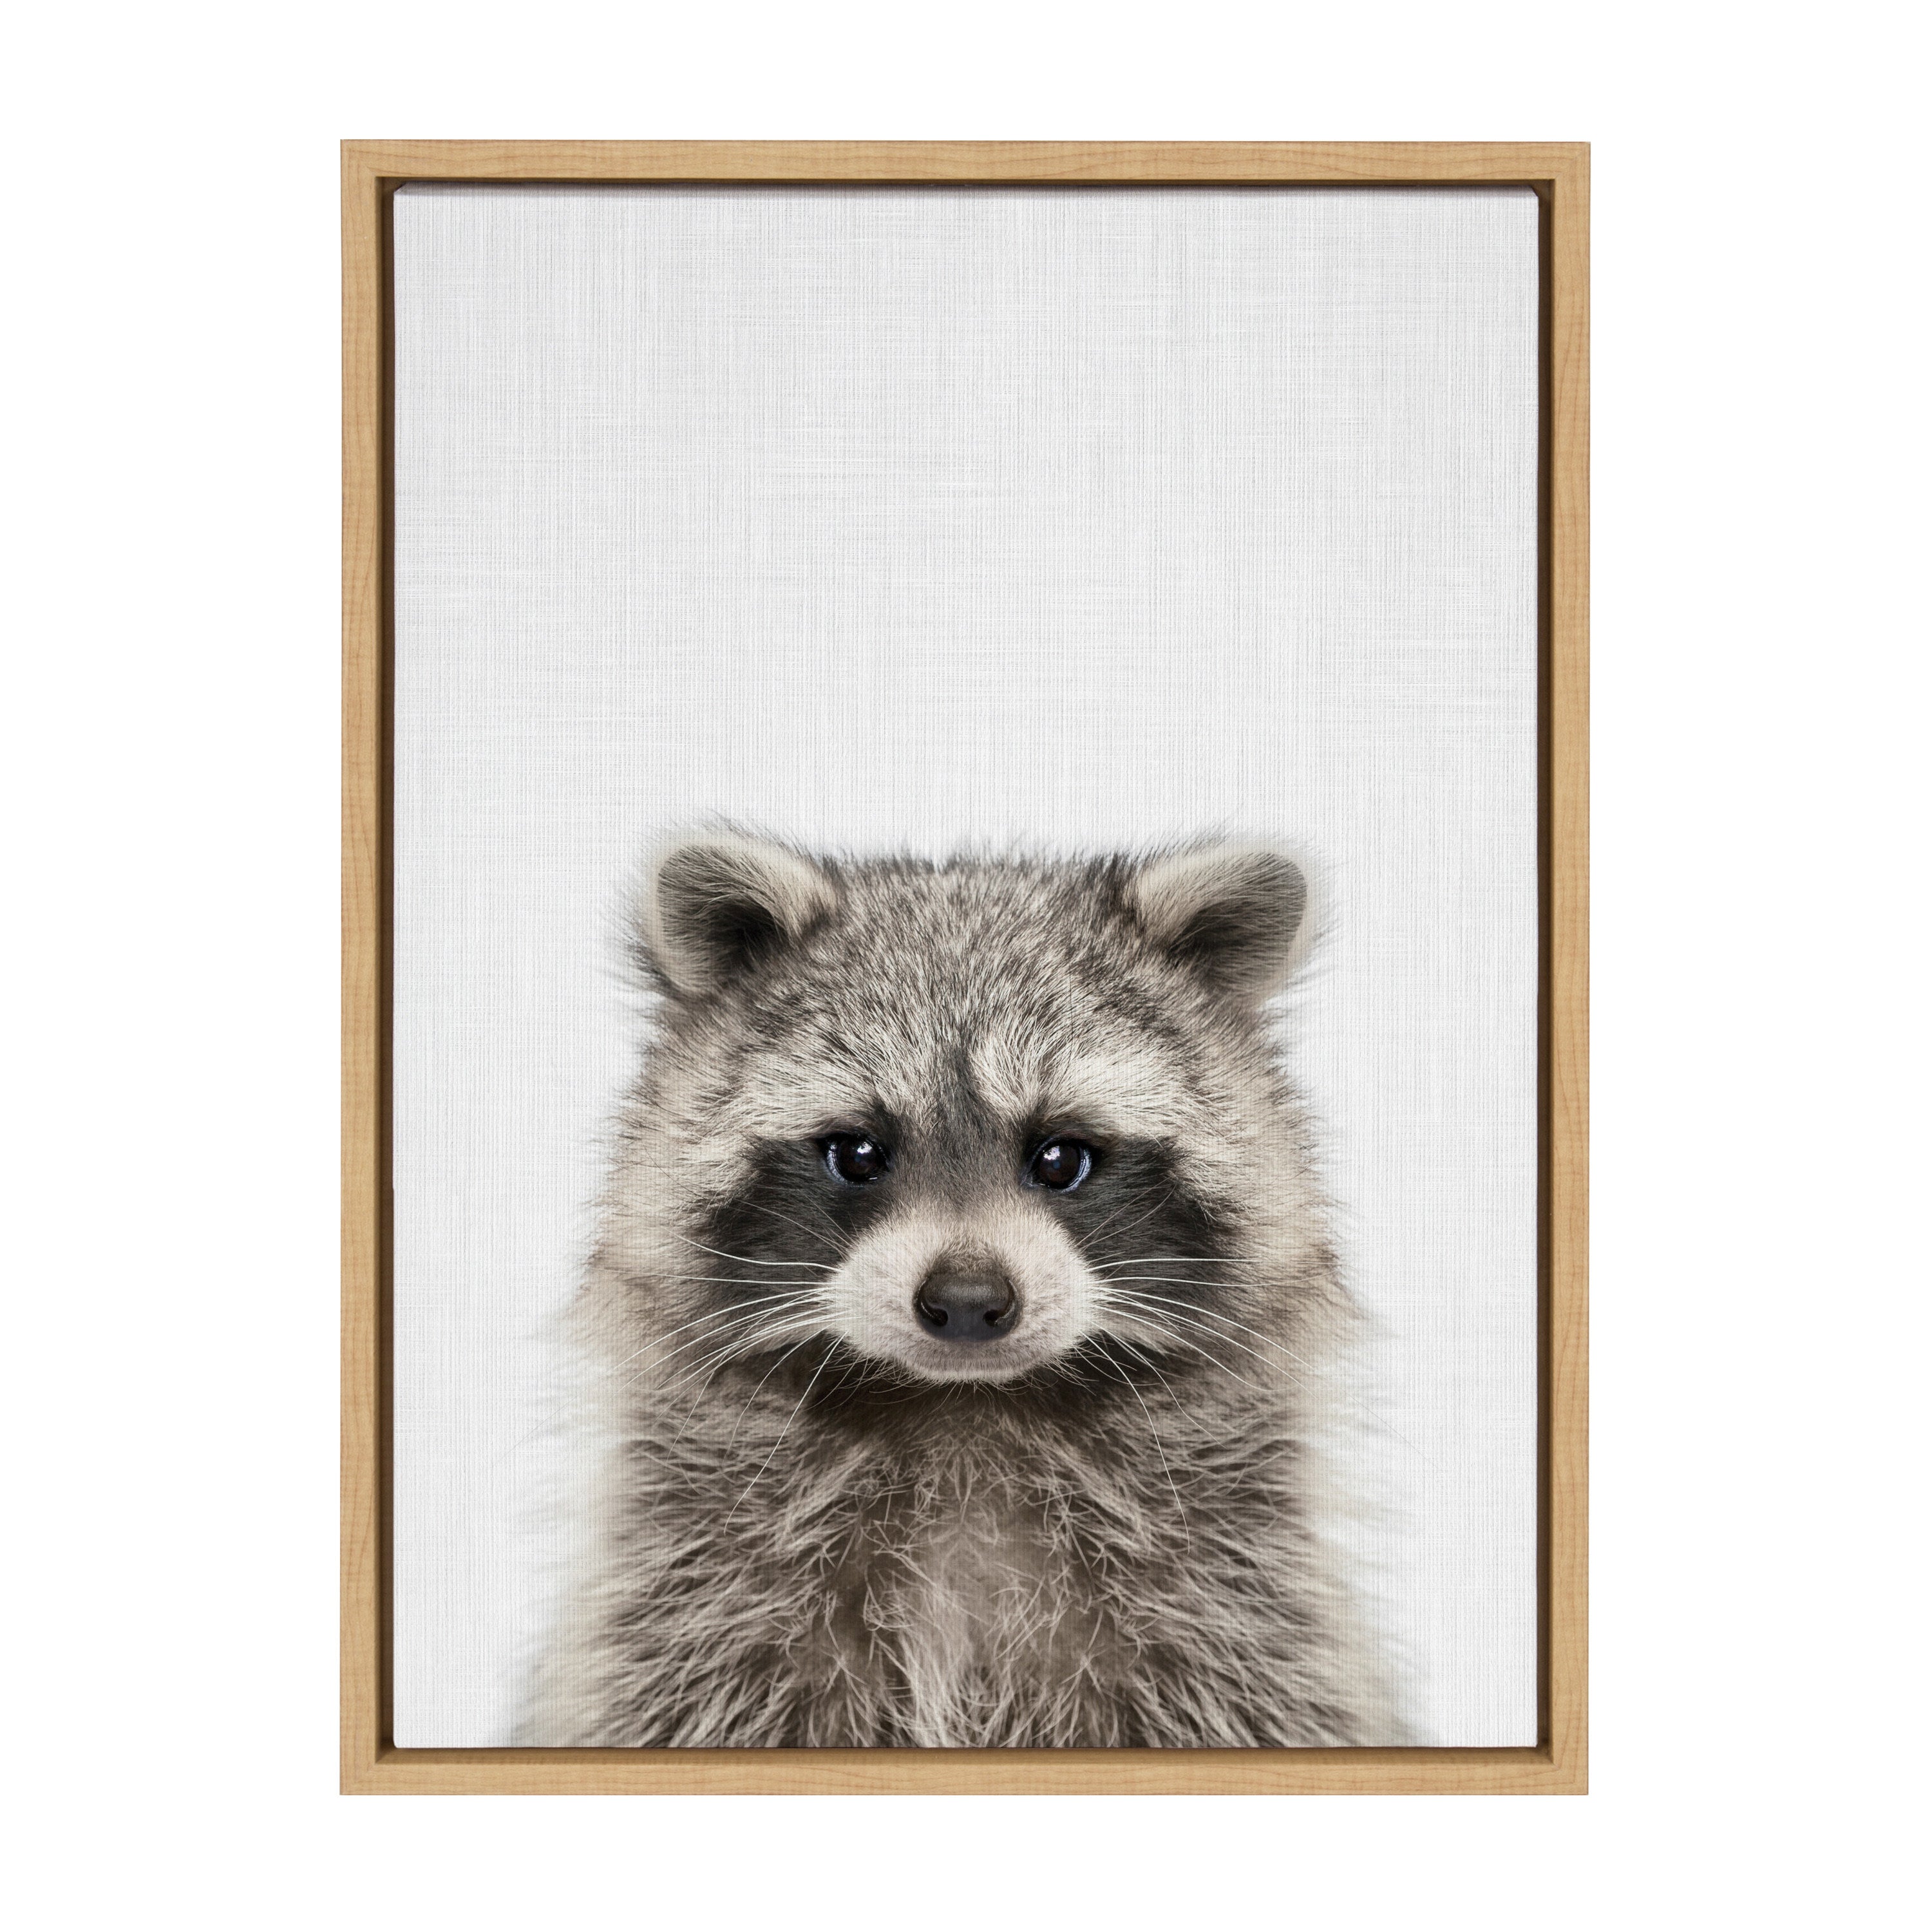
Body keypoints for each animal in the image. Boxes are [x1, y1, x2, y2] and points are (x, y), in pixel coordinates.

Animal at [527, 832, 1395, 1747]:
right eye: (858, 1153)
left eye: (1061, 1156)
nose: (970, 1301)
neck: (962, 1409)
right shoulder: (693, 1608)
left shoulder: (1234, 1610)